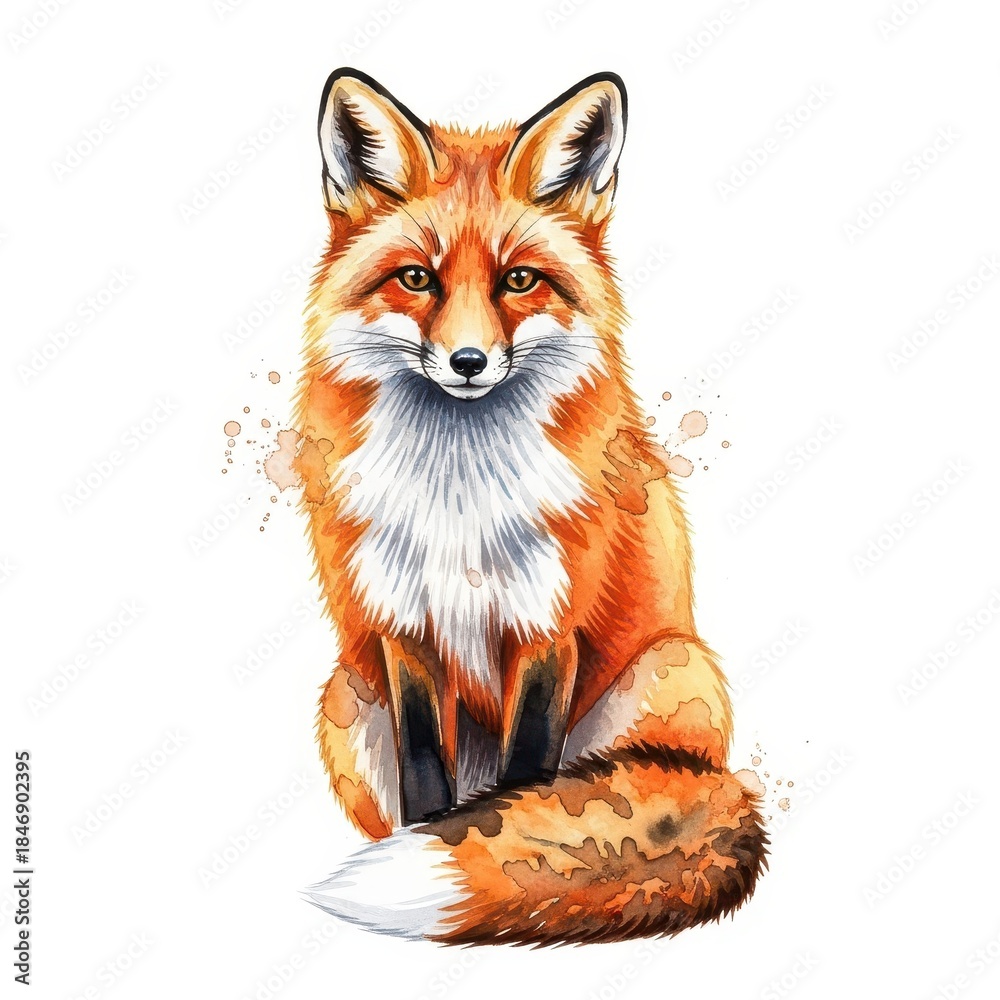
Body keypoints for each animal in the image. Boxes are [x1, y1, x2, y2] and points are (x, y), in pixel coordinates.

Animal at [294, 68, 767, 946]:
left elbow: (524, 784)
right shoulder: (403, 628)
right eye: (417, 278)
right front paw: (444, 837)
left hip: (669, 671)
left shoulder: (551, 623)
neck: (458, 493)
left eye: (519, 279)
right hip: (345, 697)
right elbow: (428, 781)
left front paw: (500, 848)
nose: (468, 361)